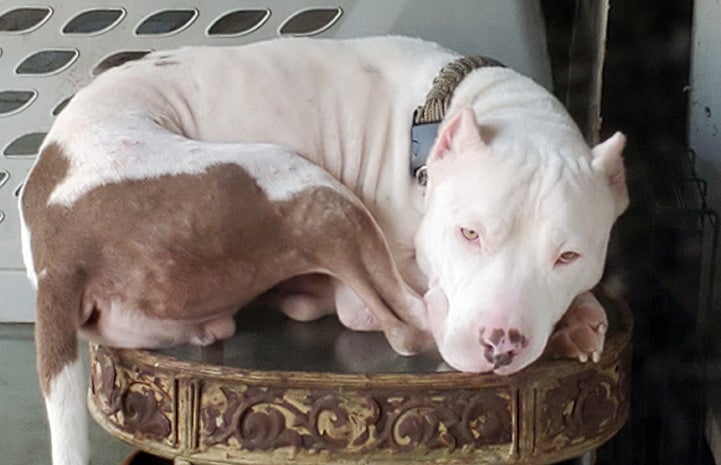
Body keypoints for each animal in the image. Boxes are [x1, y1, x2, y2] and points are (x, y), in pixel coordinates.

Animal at [16, 36, 624, 464]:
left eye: (568, 258)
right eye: (468, 234)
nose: (502, 342)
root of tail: (58, 247)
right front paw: (573, 319)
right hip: (305, 186)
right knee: (401, 324)